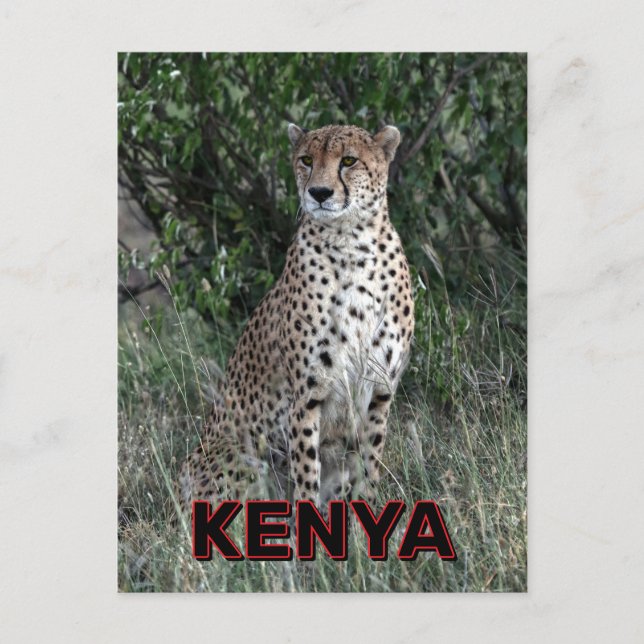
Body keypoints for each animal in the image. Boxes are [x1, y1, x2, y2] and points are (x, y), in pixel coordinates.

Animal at [177, 123, 414, 515]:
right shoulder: (307, 395)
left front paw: (363, 520)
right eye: (306, 159)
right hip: (238, 455)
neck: (351, 241)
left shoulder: (379, 393)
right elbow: (306, 474)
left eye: (348, 161)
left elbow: (368, 467)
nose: (319, 192)